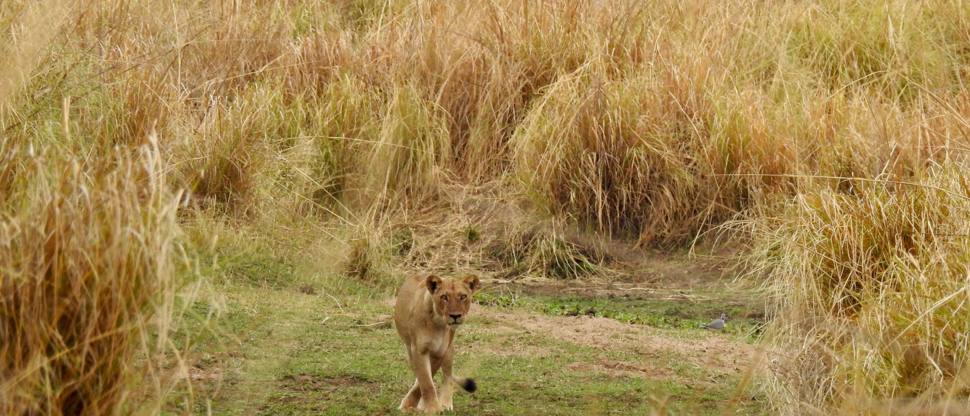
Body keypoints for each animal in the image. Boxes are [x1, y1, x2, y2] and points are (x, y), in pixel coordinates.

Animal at [393, 273, 480, 413]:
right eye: (444, 297)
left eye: (463, 296)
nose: (455, 316)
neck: (438, 322)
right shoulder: (419, 350)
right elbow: (425, 382)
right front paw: (429, 407)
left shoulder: (440, 352)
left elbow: (425, 382)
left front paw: (429, 406)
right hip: (410, 352)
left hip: (449, 350)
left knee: (447, 376)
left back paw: (445, 403)